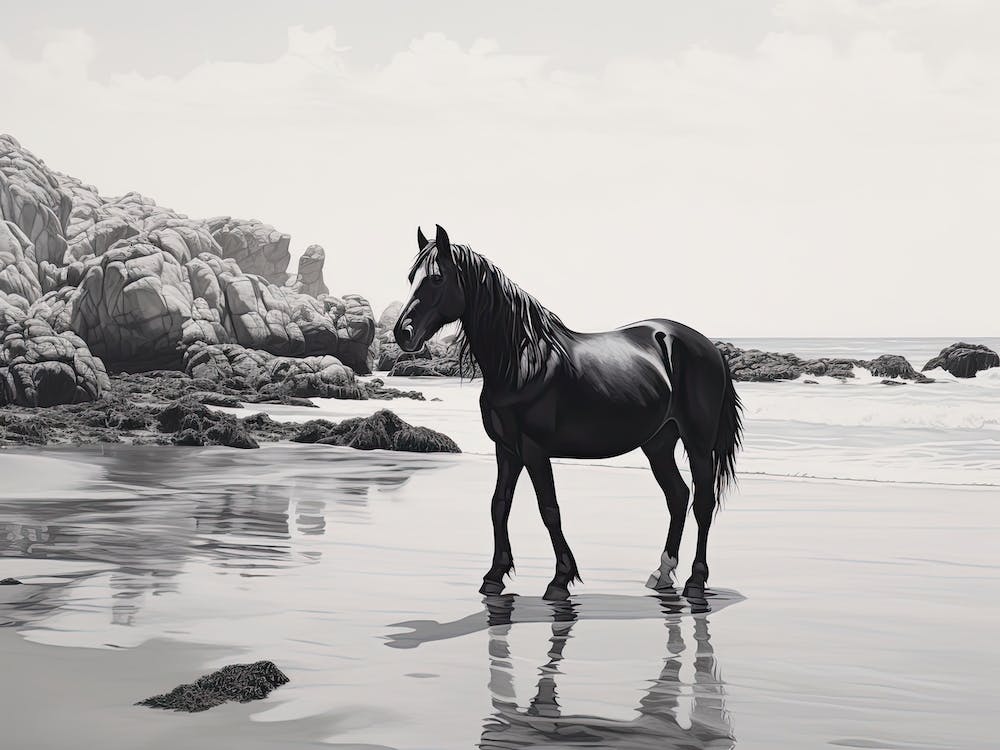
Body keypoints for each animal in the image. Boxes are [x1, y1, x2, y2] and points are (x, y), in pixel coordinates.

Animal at [394, 224, 743, 601]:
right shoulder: (507, 449)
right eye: (411, 277)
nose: (403, 333)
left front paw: (561, 579)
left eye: (437, 279)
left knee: (703, 502)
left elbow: (549, 510)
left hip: (697, 442)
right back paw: (663, 574)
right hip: (659, 443)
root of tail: (708, 347)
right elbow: (499, 505)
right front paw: (494, 576)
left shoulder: (533, 450)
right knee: (678, 496)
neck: (522, 363)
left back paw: (695, 581)